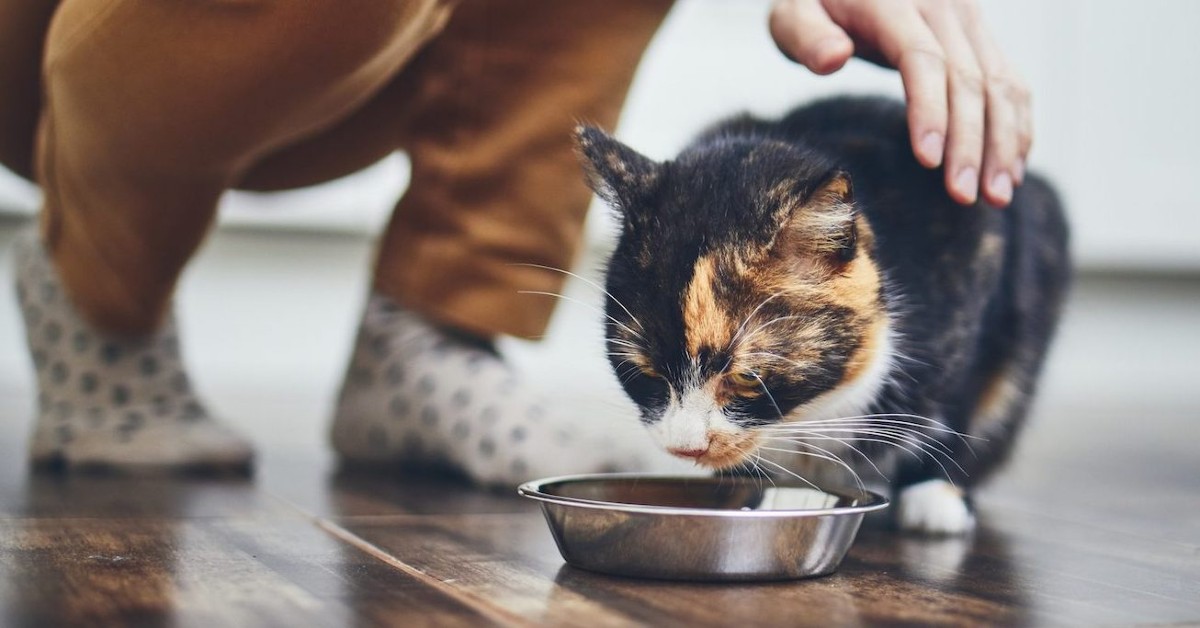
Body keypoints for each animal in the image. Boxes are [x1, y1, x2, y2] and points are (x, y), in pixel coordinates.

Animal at [576, 97, 1075, 535]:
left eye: (747, 378)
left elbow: (957, 396)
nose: (685, 445)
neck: (808, 415)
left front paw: (936, 494)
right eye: (644, 373)